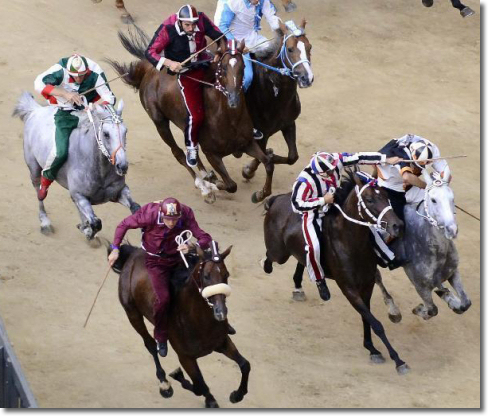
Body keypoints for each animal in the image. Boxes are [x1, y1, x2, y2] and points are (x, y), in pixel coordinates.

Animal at [13, 92, 139, 239]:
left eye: (126, 131)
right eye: (106, 134)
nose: (122, 166)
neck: (99, 170)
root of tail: (34, 110)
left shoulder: (119, 192)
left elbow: (135, 207)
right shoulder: (79, 195)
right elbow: (96, 223)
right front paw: (87, 229)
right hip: (34, 168)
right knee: (39, 192)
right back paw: (45, 222)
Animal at [107, 24, 274, 203]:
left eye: (243, 67)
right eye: (223, 68)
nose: (234, 100)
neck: (229, 119)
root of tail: (149, 70)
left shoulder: (247, 143)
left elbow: (268, 163)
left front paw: (260, 194)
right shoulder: (212, 154)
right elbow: (230, 185)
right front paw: (210, 187)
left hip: (183, 124)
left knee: (191, 150)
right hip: (160, 122)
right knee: (179, 153)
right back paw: (203, 185)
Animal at [111, 242, 252, 408]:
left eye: (226, 275)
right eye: (206, 276)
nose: (220, 312)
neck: (199, 321)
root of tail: (133, 254)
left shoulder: (222, 342)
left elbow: (245, 364)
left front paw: (237, 395)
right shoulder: (185, 357)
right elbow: (199, 386)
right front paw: (179, 376)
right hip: (132, 314)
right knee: (151, 345)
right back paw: (164, 383)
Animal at [242, 19, 314, 180]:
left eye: (309, 47)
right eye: (290, 49)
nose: (306, 78)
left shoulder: (288, 124)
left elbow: (292, 157)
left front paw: (267, 156)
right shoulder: (261, 135)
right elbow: (263, 158)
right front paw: (249, 170)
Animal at [262, 171, 410, 374]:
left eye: (387, 196)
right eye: (369, 199)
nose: (398, 226)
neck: (351, 242)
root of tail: (277, 199)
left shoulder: (367, 285)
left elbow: (367, 319)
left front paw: (372, 349)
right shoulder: (348, 288)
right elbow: (376, 323)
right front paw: (397, 359)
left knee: (302, 259)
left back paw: (300, 287)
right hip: (279, 253)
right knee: (270, 259)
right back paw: (270, 268)